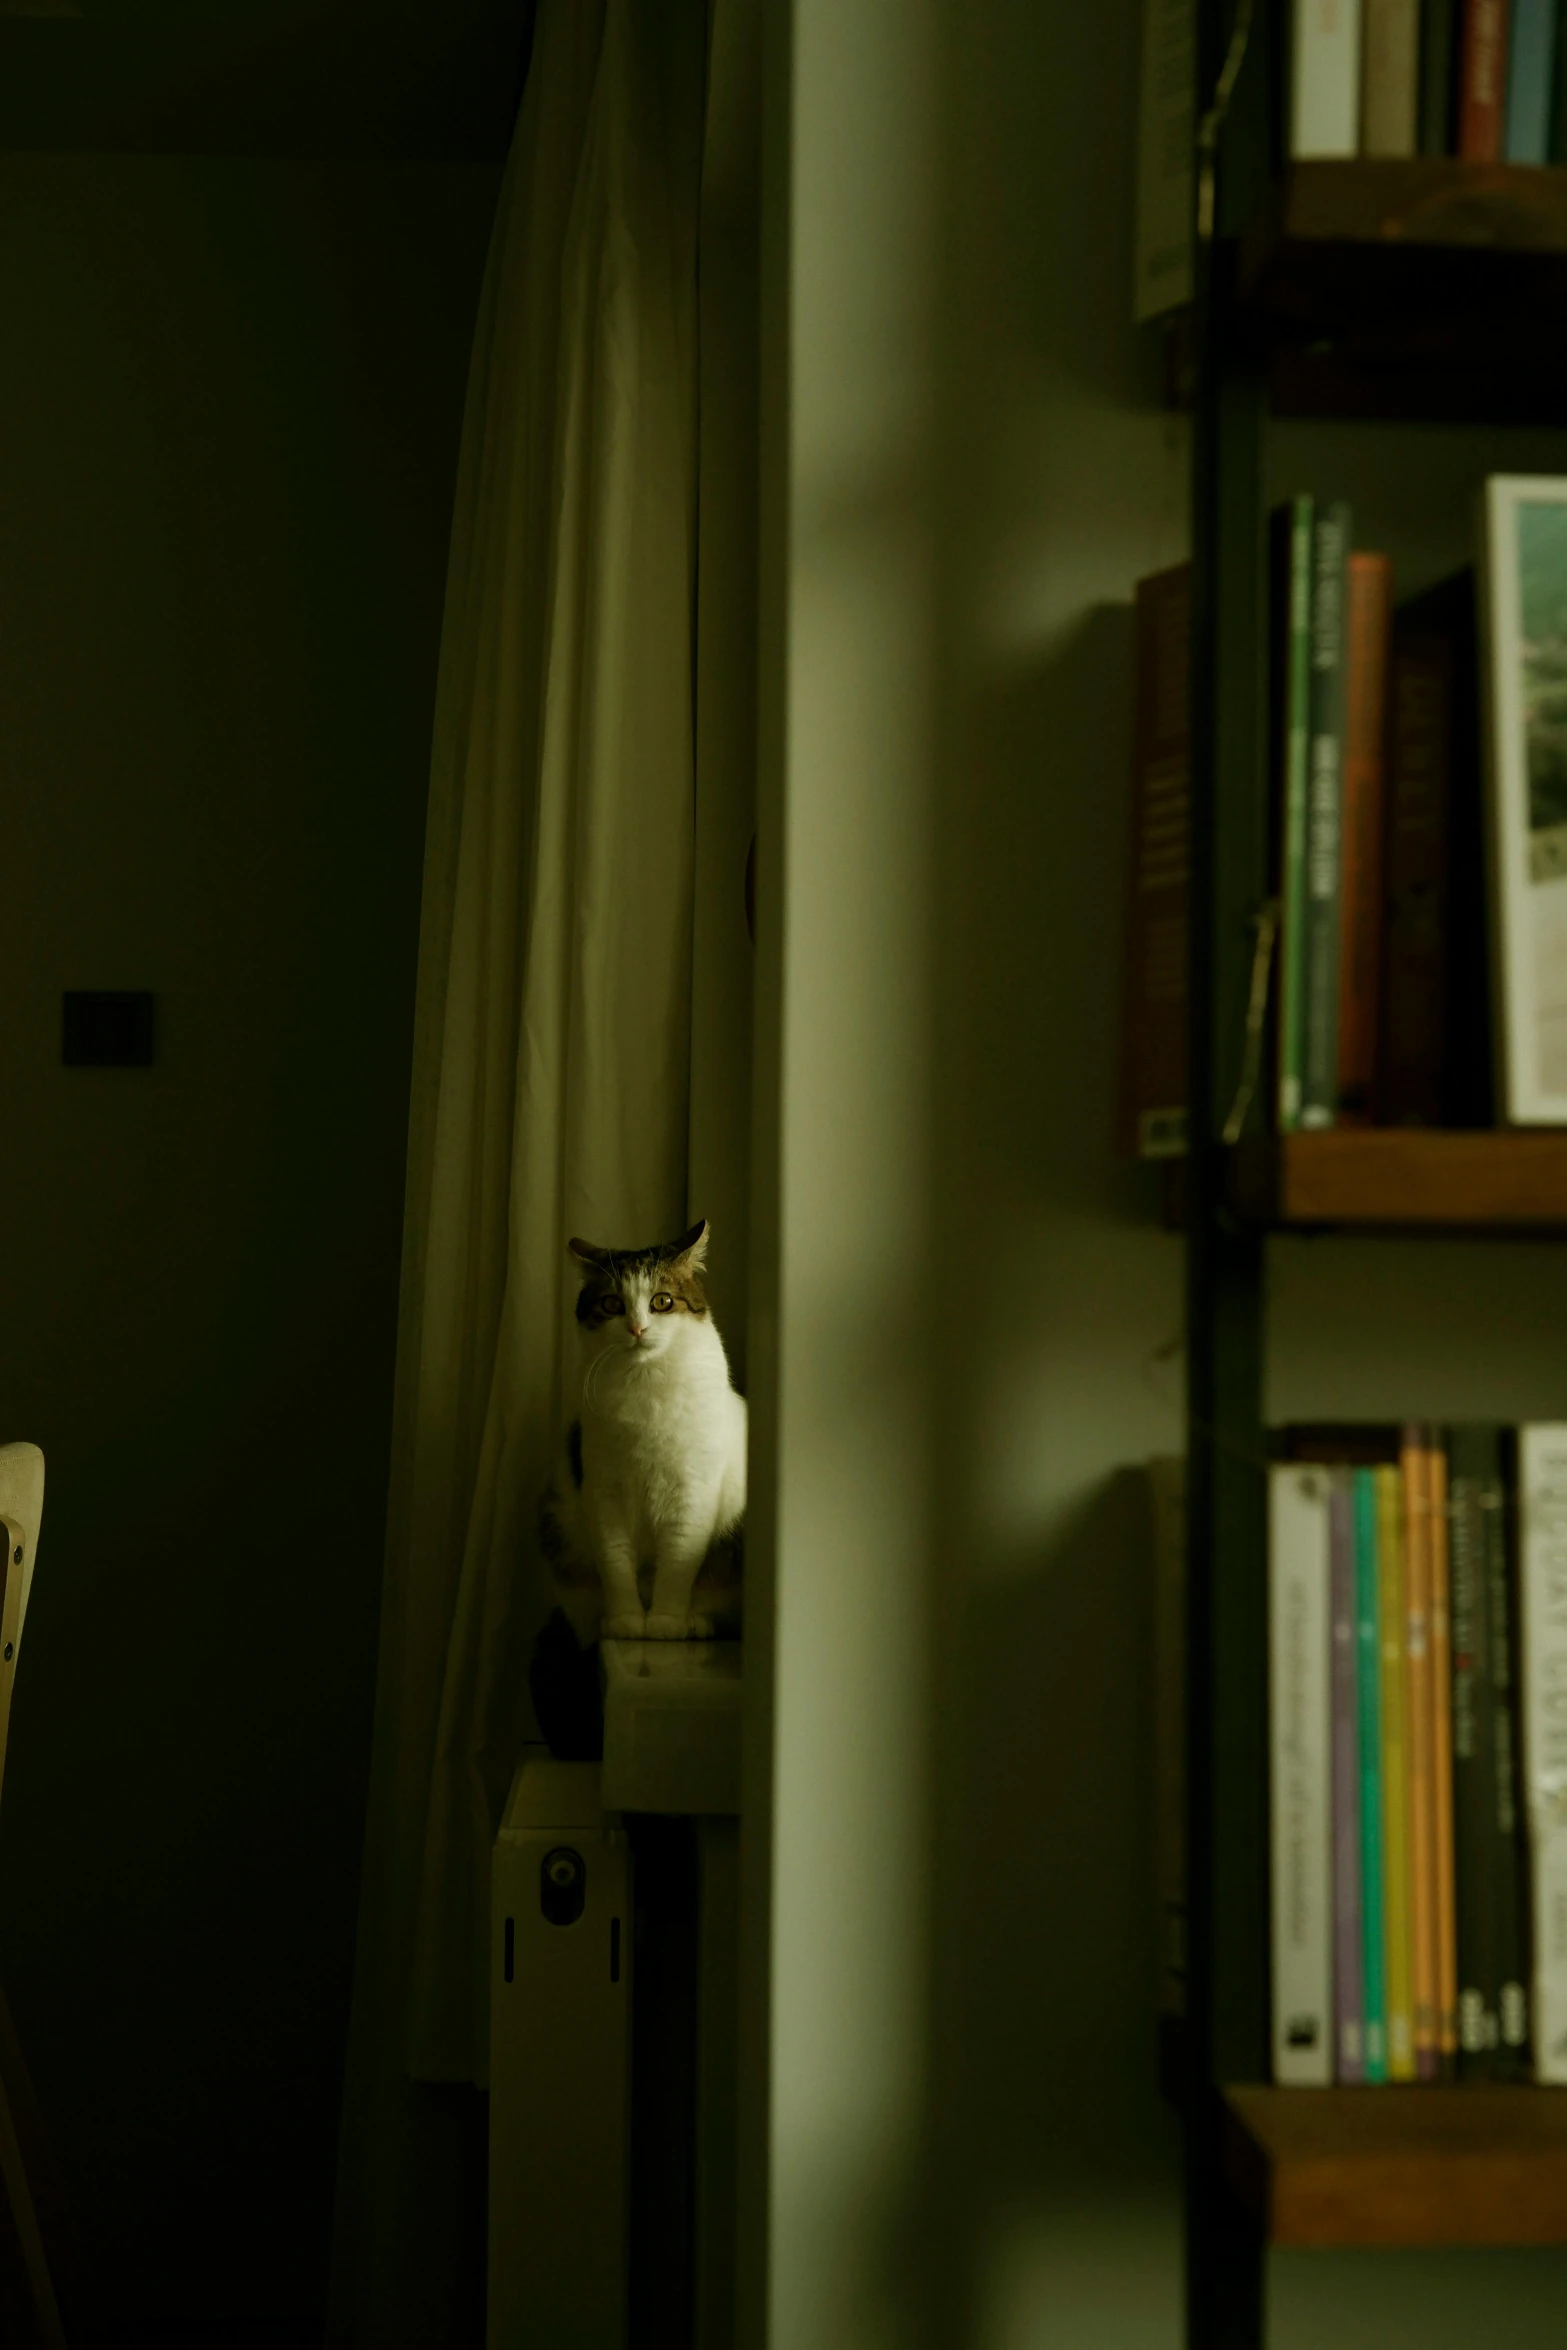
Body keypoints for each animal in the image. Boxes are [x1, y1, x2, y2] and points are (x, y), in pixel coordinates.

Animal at [545, 1222, 747, 1644]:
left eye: (663, 1301)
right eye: (610, 1304)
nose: (637, 1328)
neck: (645, 1383)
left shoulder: (693, 1491)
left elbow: (678, 1562)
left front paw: (666, 1621)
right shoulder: (602, 1490)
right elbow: (616, 1564)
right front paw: (625, 1621)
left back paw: (695, 1623)